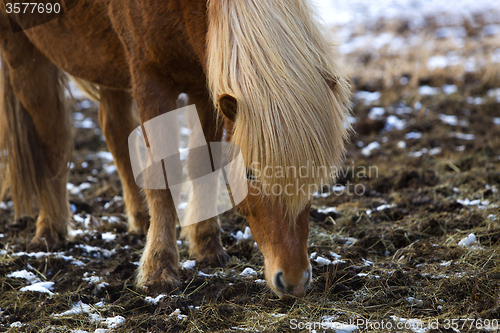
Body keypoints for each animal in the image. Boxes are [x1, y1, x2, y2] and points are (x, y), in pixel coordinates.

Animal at [0, 0, 352, 296]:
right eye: (250, 174)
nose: (294, 281)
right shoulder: (150, 80)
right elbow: (164, 172)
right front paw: (159, 269)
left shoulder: (203, 85)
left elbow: (203, 162)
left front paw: (207, 245)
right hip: (24, 48)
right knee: (52, 137)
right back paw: (49, 229)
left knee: (113, 129)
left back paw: (139, 218)